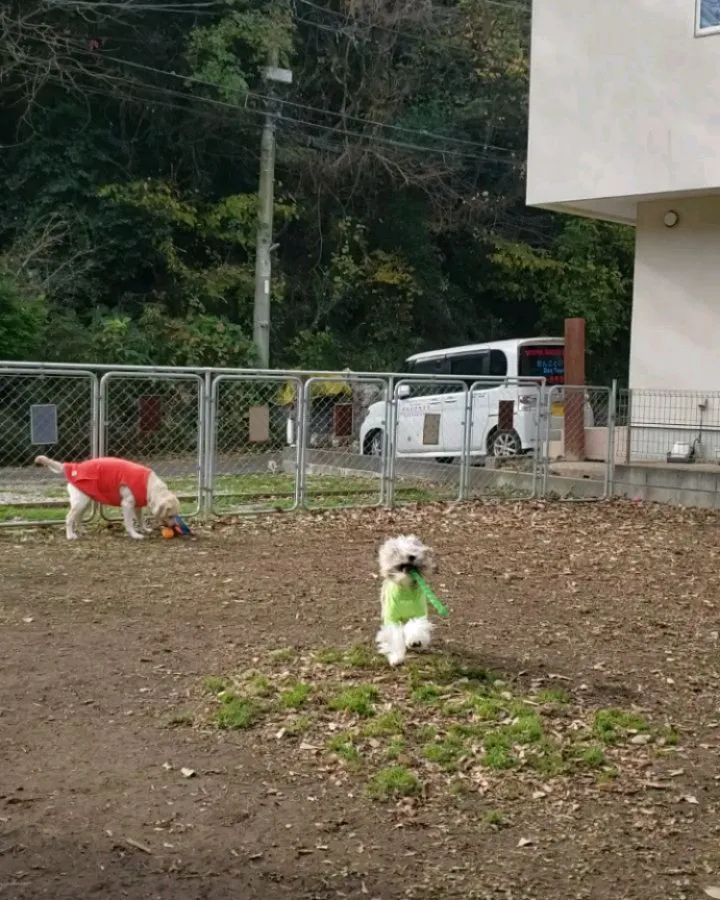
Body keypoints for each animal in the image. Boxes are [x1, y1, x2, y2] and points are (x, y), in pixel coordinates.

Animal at [34, 454, 181, 536]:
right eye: (170, 515)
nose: (174, 527)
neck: (149, 485)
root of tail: (73, 466)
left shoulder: (137, 506)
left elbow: (141, 520)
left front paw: (145, 530)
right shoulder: (127, 504)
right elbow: (129, 522)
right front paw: (135, 535)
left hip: (86, 502)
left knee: (78, 517)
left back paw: (81, 531)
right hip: (81, 502)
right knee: (69, 518)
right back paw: (71, 536)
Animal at [376, 536, 438, 668]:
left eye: (414, 549)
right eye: (399, 551)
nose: (411, 557)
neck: (406, 590)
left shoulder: (418, 613)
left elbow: (415, 625)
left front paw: (415, 641)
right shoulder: (392, 618)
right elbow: (394, 636)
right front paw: (396, 658)